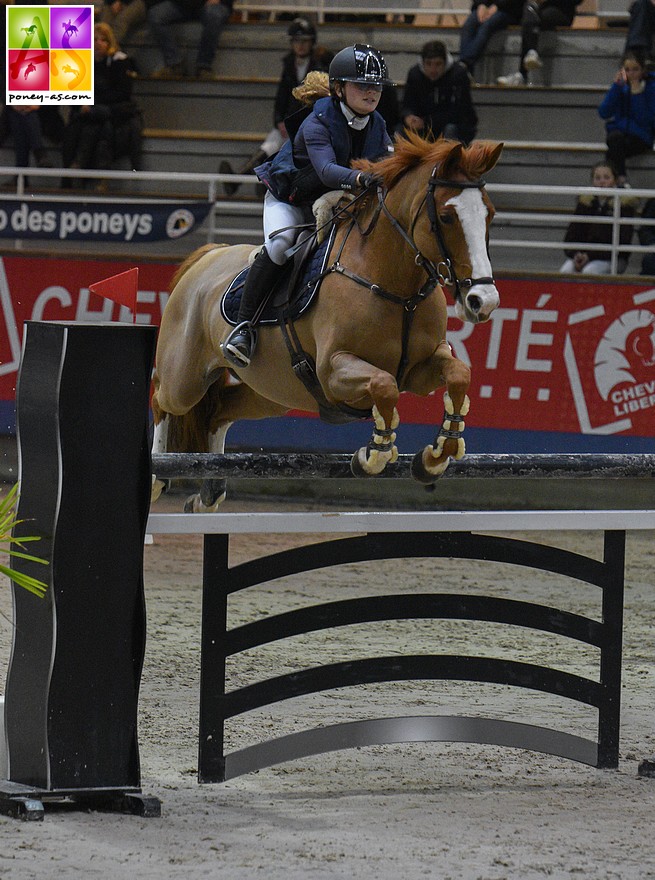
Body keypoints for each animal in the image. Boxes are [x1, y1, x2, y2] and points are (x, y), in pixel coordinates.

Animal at [152, 134, 502, 512]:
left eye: (490, 214)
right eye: (447, 217)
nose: (483, 301)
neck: (397, 288)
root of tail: (208, 255)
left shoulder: (419, 369)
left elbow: (458, 375)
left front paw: (437, 455)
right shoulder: (333, 371)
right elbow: (384, 386)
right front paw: (374, 454)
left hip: (272, 392)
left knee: (219, 412)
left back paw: (209, 496)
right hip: (185, 379)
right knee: (161, 397)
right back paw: (157, 478)